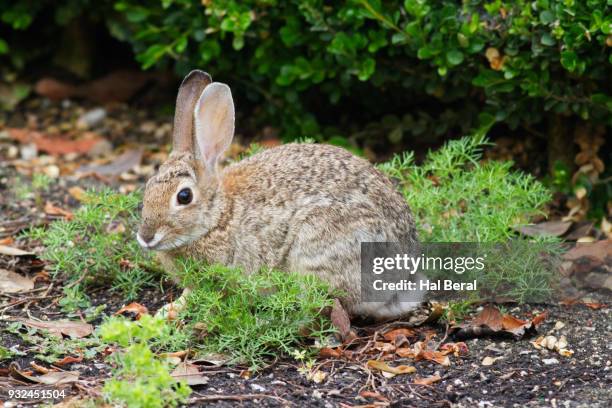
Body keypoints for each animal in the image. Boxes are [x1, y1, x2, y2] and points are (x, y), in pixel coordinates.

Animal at [137, 69, 426, 318]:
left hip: (320, 246)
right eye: (148, 187)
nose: (145, 237)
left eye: (184, 197)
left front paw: (173, 311)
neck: (218, 218)